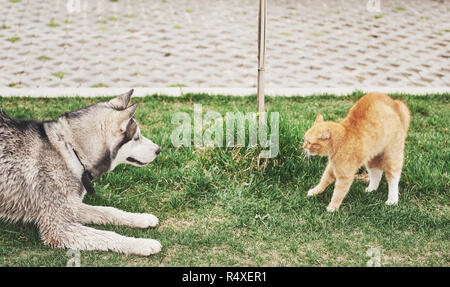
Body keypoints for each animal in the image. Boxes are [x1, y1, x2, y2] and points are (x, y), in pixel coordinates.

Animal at [0, 90, 163, 256]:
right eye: (136, 138)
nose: (159, 150)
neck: (73, 152)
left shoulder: (73, 205)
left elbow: (108, 211)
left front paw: (141, 218)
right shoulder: (59, 228)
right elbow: (107, 236)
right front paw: (142, 243)